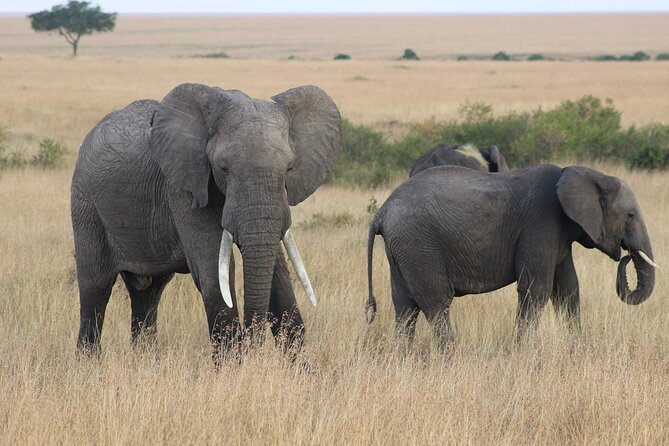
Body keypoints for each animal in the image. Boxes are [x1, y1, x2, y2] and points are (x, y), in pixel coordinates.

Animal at [71, 83, 342, 356]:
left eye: (288, 169)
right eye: (223, 169)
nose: (251, 344)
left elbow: (280, 282)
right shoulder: (184, 187)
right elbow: (214, 277)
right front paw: (233, 364)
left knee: (148, 291)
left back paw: (145, 359)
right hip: (85, 202)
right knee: (96, 286)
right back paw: (89, 361)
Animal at [365, 164, 656, 349]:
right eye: (630, 215)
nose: (626, 254)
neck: (589, 174)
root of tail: (382, 211)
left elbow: (567, 289)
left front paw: (577, 348)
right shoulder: (541, 224)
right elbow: (535, 290)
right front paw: (522, 353)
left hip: (402, 249)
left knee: (405, 307)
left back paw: (404, 359)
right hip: (418, 245)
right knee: (436, 304)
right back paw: (452, 358)